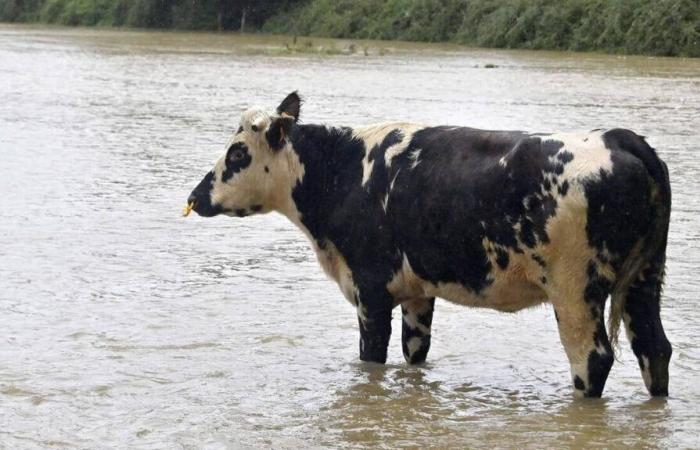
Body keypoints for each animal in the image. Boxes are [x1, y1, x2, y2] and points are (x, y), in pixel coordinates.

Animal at [187, 91, 672, 398]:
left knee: (592, 359)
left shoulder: (371, 289)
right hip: (644, 282)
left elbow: (371, 358)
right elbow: (414, 351)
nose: (195, 197)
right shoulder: (416, 293)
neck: (343, 173)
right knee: (655, 349)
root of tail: (617, 138)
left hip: (575, 290)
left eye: (237, 153)